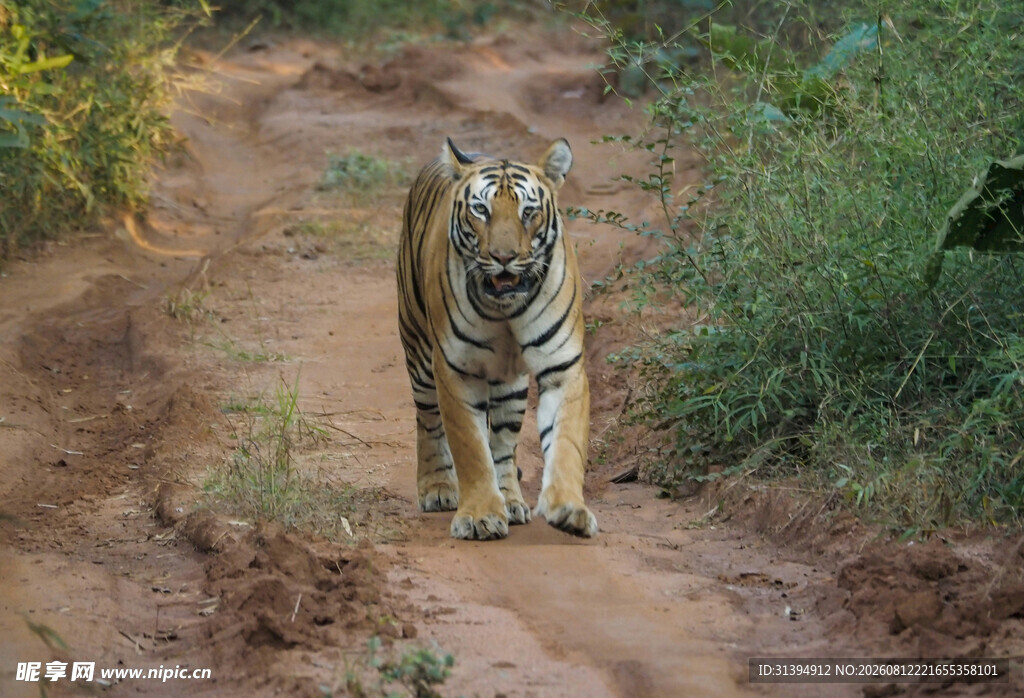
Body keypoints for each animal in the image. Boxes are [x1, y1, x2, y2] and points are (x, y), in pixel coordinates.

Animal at [396, 137, 598, 541]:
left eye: (528, 212)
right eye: (481, 210)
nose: (504, 257)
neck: (506, 308)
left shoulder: (563, 367)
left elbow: (566, 442)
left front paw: (569, 509)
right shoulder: (455, 370)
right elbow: (471, 448)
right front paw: (479, 517)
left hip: (512, 386)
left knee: (503, 444)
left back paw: (512, 500)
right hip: (418, 352)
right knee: (428, 421)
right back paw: (437, 488)